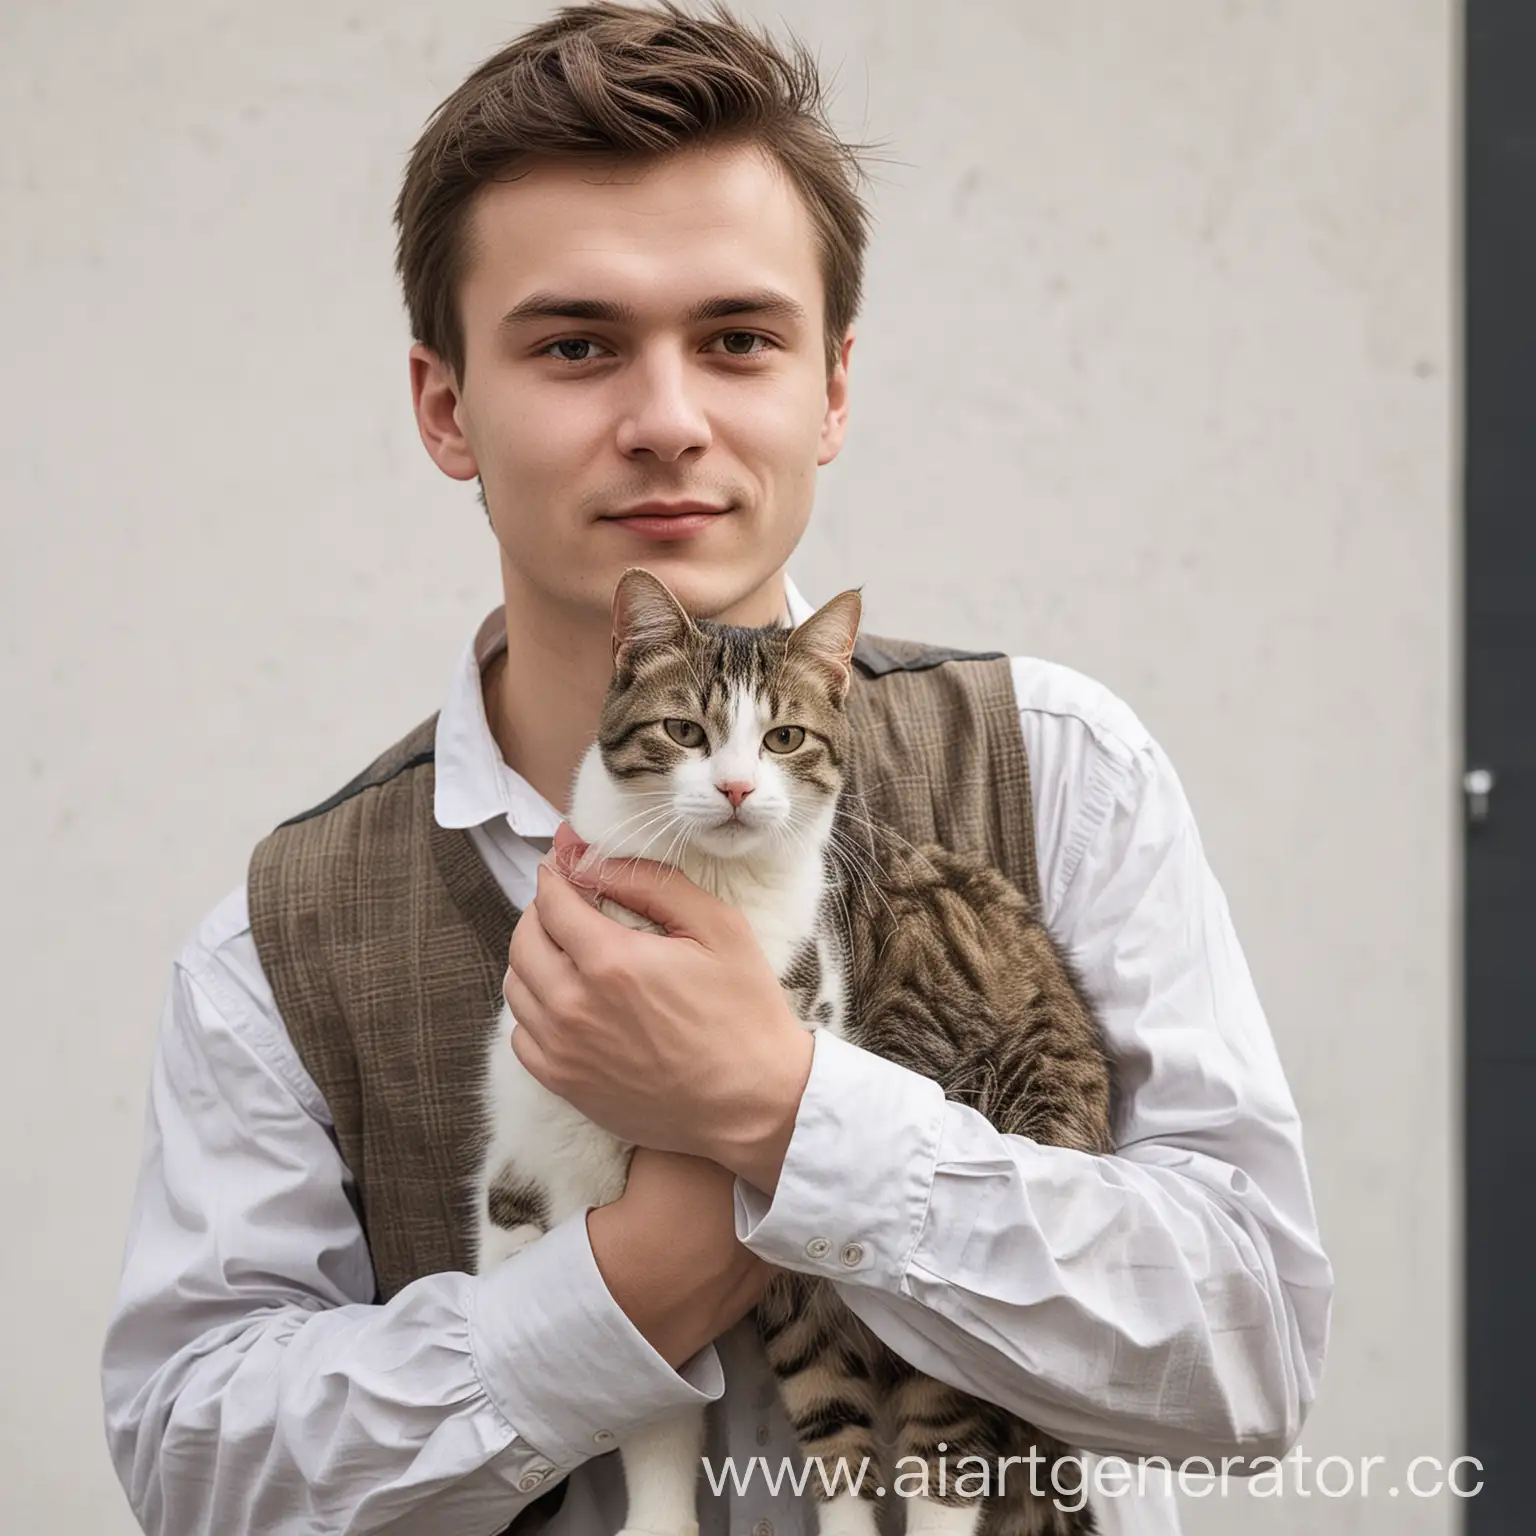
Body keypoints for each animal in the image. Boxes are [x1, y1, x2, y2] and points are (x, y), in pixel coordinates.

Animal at [473, 568, 1112, 1536]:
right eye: (684, 731)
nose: (738, 788)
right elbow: (640, 1384)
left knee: (946, 1450)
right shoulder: (578, 1189)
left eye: (785, 738)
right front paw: (657, 1518)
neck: (710, 889)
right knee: (835, 1430)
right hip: (799, 1311)